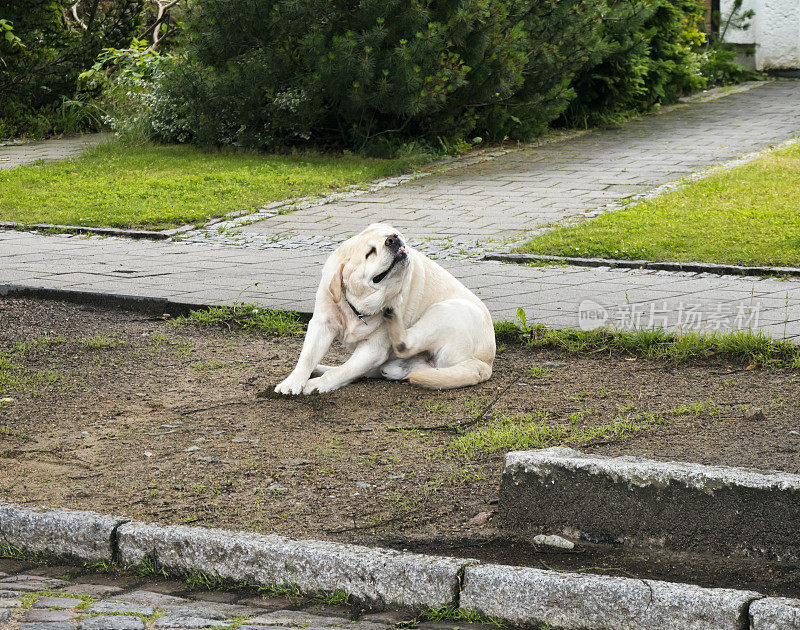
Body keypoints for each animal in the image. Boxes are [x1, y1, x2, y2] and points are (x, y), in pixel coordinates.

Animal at [276, 223, 494, 396]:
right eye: (369, 252)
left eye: (393, 234)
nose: (393, 238)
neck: (356, 307)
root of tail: (484, 363)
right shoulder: (322, 324)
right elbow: (307, 357)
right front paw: (292, 382)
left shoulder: (373, 349)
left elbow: (342, 371)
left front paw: (317, 384)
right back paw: (320, 368)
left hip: (443, 311)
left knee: (404, 344)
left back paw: (392, 315)